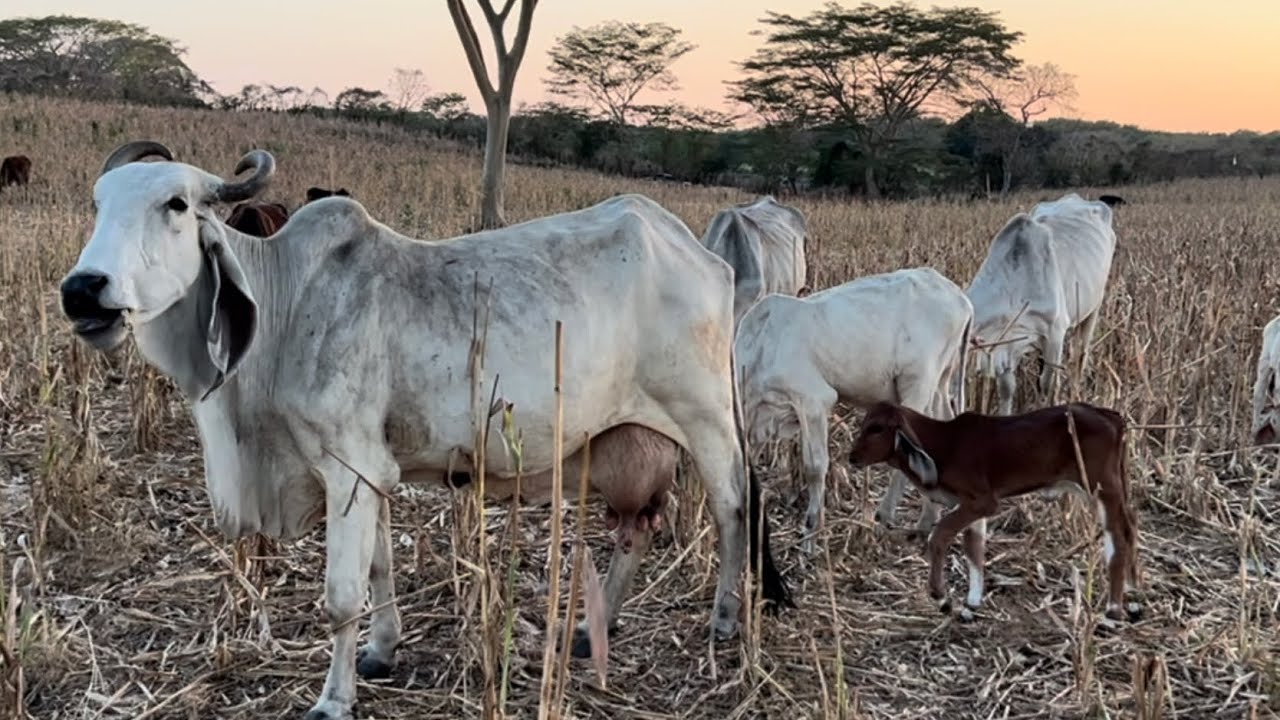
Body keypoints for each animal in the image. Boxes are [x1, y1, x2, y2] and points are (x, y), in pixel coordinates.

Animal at [58, 141, 792, 720]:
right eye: (97, 203)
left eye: (177, 204)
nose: (83, 289)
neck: (285, 305)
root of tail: (705, 256)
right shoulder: (370, 470)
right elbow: (380, 565)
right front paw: (382, 651)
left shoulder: (347, 470)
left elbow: (342, 596)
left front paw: (333, 700)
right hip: (624, 439)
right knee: (635, 529)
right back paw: (590, 632)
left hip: (706, 419)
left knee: (732, 508)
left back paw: (726, 619)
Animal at [734, 267, 973, 553]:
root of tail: (960, 298)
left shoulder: (813, 400)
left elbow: (814, 467)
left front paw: (811, 534)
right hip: (940, 383)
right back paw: (928, 520)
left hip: (917, 382)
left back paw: (885, 516)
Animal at [967, 193, 1118, 416]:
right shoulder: (1008, 344)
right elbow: (1007, 389)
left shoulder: (1055, 334)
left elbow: (1048, 385)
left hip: (1094, 308)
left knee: (1080, 356)